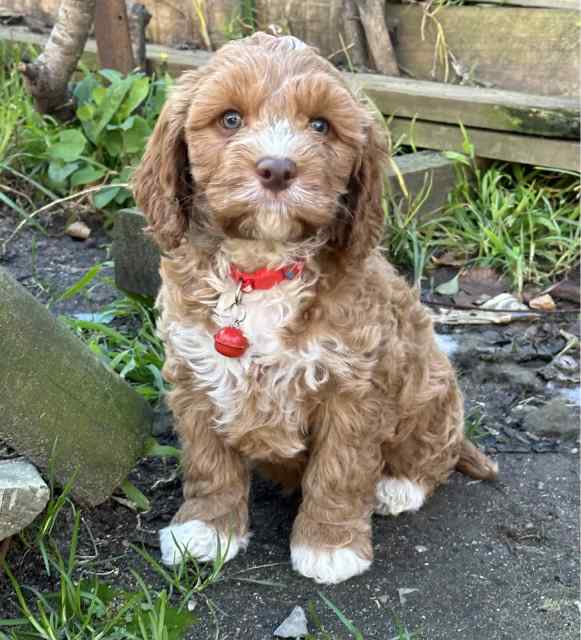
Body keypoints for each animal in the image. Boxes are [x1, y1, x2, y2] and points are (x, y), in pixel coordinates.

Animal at [131, 33, 494, 584]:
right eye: (230, 119)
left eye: (320, 125)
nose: (278, 168)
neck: (262, 269)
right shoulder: (195, 375)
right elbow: (208, 461)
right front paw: (206, 528)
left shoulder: (355, 386)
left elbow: (341, 469)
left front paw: (328, 543)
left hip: (431, 388)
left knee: (437, 451)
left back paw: (398, 485)